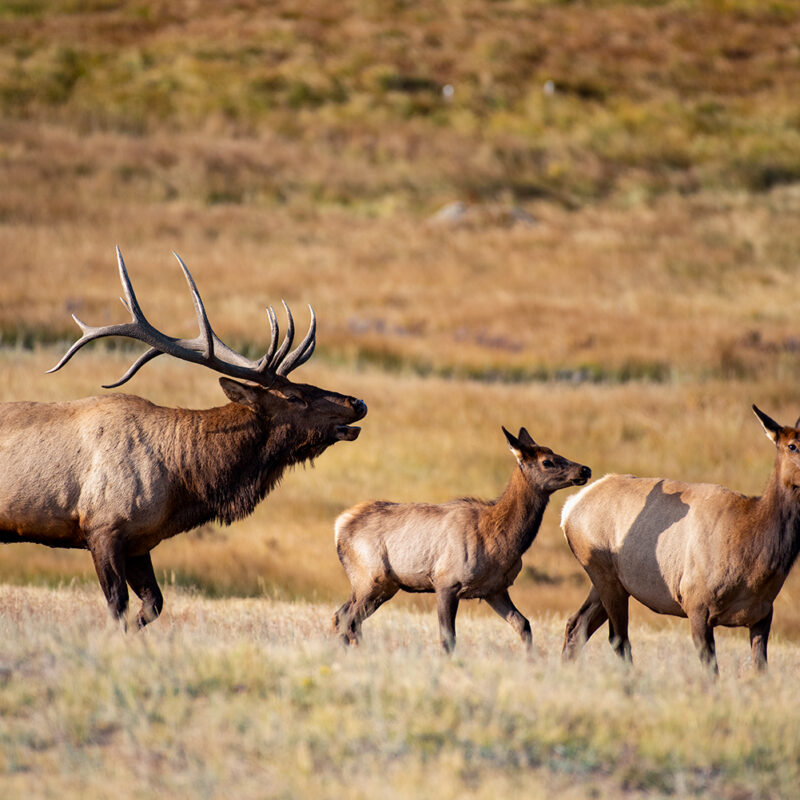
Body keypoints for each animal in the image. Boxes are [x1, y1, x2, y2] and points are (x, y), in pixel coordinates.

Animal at [0, 248, 367, 629]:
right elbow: (117, 605)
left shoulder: (139, 541)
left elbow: (153, 604)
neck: (181, 483)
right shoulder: (102, 527)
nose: (358, 403)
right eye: (294, 396)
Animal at [332, 426, 591, 653]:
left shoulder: (495, 589)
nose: (585, 469)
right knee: (348, 619)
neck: (500, 541)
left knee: (341, 616)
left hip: (382, 584)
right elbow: (448, 638)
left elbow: (524, 624)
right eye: (547, 461)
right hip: (370, 576)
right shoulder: (447, 581)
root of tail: (339, 525)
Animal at [561, 406, 800, 674]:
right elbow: (711, 671)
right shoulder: (697, 606)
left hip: (611, 583)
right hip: (604, 576)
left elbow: (760, 669)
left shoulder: (763, 613)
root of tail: (569, 508)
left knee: (576, 625)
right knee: (617, 638)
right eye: (792, 446)